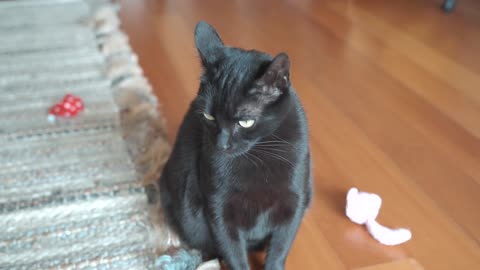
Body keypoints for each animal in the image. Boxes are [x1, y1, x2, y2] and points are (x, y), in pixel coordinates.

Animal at [159, 21, 314, 270]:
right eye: (209, 116)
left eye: (245, 122)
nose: (222, 144)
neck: (258, 157)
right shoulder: (219, 209)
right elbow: (233, 253)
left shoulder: (294, 202)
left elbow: (280, 249)